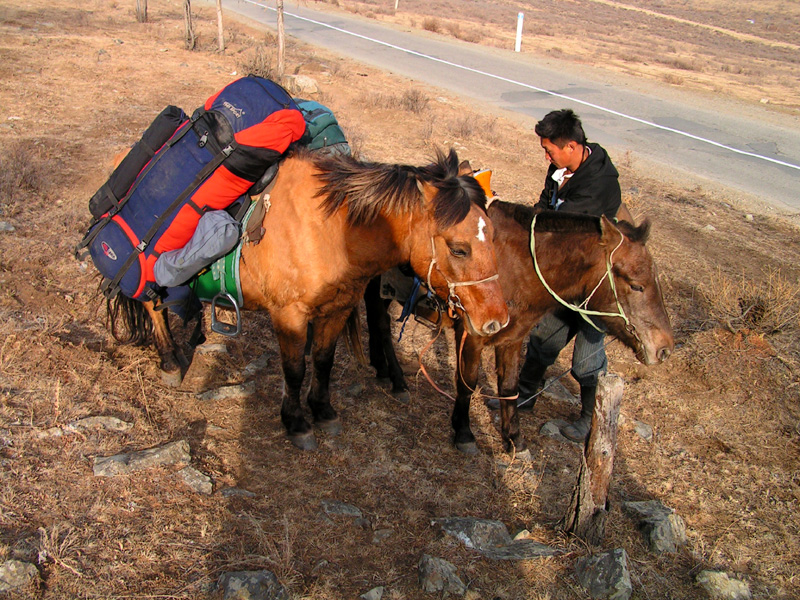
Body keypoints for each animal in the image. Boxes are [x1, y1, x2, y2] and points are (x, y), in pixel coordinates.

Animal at [109, 148, 510, 450]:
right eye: (459, 248)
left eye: (493, 237)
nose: (496, 319)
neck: (330, 230)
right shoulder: (289, 316)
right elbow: (295, 370)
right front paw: (297, 423)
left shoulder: (337, 309)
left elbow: (322, 361)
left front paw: (323, 411)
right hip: (147, 271)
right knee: (151, 305)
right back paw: (170, 361)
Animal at [366, 199, 672, 452]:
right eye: (636, 284)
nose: (664, 348)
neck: (514, 267)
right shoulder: (472, 336)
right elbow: (467, 383)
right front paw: (464, 433)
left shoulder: (512, 339)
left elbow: (510, 386)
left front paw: (513, 438)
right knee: (381, 326)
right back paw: (397, 380)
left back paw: (382, 369)